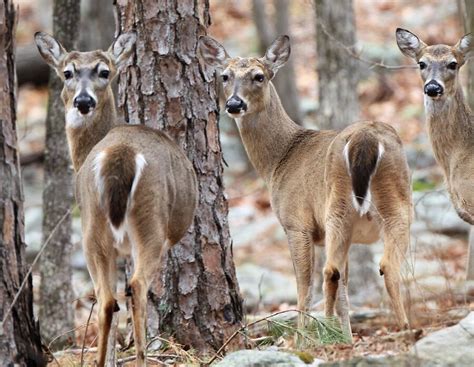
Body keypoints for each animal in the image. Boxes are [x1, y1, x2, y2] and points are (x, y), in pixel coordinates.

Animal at [35, 32, 197, 367]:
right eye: (67, 72)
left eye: (104, 71)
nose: (83, 102)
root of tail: (120, 153)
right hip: (150, 221)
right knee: (135, 287)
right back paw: (140, 357)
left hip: (93, 224)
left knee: (107, 299)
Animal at [198, 36, 412, 338]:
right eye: (225, 76)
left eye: (259, 76)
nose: (234, 104)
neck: (279, 160)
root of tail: (365, 139)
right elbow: (345, 293)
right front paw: (346, 337)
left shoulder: (296, 223)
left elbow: (303, 289)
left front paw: (305, 339)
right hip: (397, 200)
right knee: (386, 266)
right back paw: (405, 328)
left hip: (337, 204)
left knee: (329, 272)